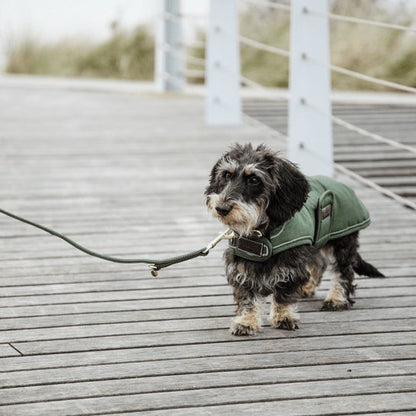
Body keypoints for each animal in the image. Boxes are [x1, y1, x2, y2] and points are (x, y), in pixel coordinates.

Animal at [205, 143, 384, 334]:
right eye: (227, 175)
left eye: (253, 179)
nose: (221, 208)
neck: (262, 234)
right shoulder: (241, 266)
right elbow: (247, 297)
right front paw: (246, 321)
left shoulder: (291, 266)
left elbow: (283, 296)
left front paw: (284, 317)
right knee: (319, 263)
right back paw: (307, 287)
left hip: (343, 242)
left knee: (344, 272)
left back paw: (336, 299)